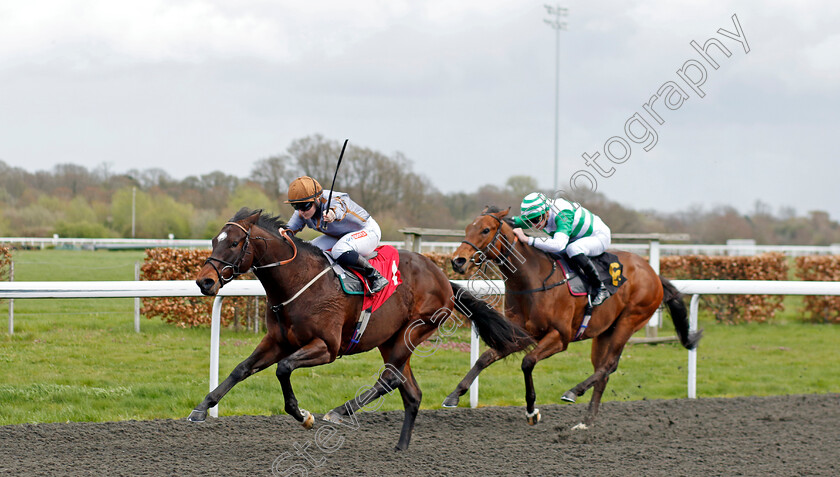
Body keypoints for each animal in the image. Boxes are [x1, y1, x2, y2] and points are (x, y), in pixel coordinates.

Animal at [191, 208, 532, 450]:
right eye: (214, 241)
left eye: (235, 242)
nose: (204, 281)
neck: (299, 282)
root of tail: (442, 277)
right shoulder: (277, 340)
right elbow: (241, 368)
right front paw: (201, 408)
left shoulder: (326, 347)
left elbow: (283, 369)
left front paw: (304, 415)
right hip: (392, 340)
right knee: (410, 391)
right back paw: (400, 447)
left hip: (414, 330)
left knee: (388, 380)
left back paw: (340, 411)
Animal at [446, 207, 704, 428]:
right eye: (467, 228)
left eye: (485, 230)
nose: (458, 261)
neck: (533, 279)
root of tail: (653, 274)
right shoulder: (521, 333)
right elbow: (484, 358)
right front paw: (454, 395)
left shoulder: (560, 337)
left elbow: (527, 362)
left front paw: (532, 410)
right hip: (605, 332)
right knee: (603, 371)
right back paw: (586, 421)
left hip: (630, 320)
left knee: (608, 366)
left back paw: (573, 391)